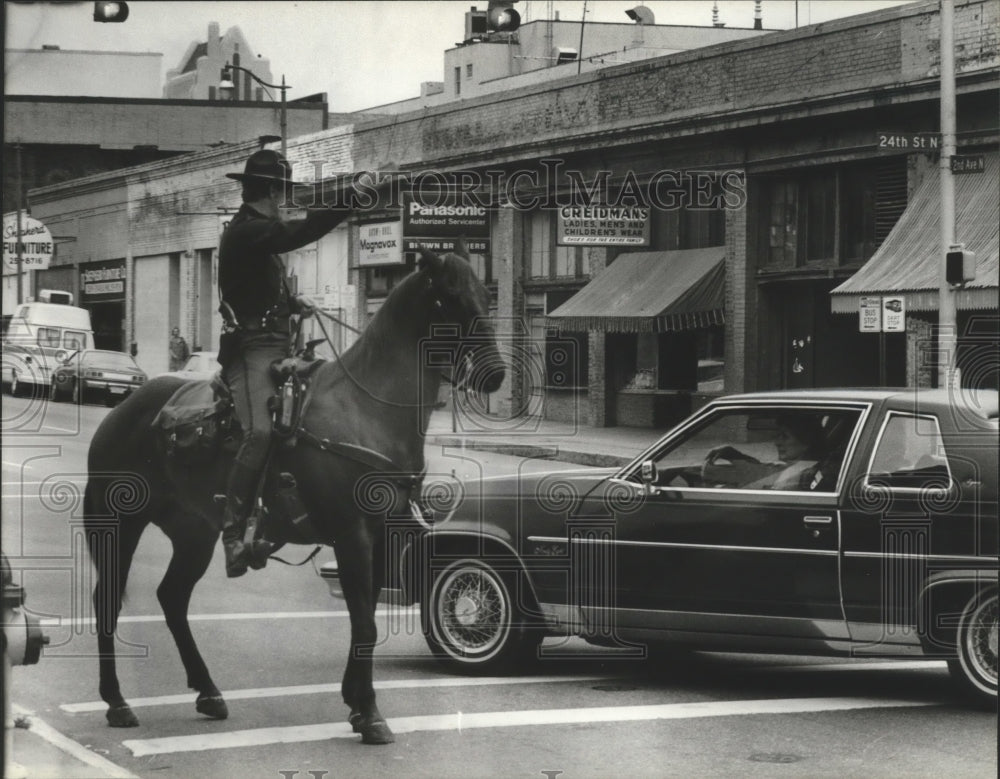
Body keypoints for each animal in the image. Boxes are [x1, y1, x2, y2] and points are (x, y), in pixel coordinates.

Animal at [85, 248, 504, 744]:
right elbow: (364, 622)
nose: (496, 375)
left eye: (486, 294)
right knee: (107, 600)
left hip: (194, 533)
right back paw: (117, 701)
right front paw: (371, 713)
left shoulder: (383, 537)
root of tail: (124, 408)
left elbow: (363, 619)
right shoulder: (353, 535)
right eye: (451, 297)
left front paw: (355, 703)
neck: (366, 410)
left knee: (172, 597)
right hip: (118, 523)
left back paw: (207, 691)